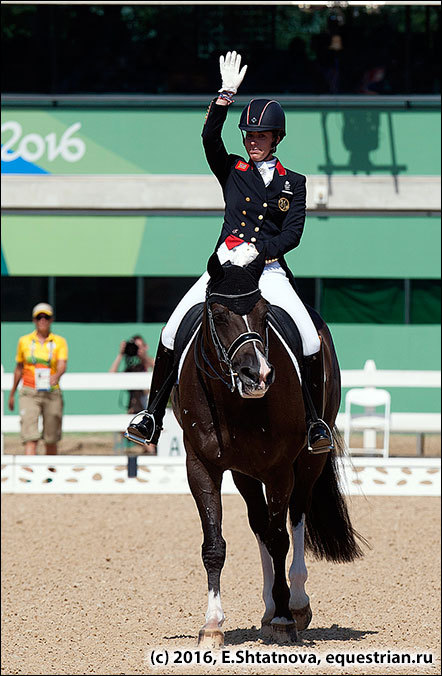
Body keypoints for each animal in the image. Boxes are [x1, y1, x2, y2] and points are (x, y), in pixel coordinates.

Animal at [171, 252, 360, 644]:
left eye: (264, 313)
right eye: (218, 314)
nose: (256, 375)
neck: (234, 402)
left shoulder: (278, 471)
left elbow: (279, 540)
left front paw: (287, 619)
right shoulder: (201, 466)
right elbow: (215, 544)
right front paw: (212, 625)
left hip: (307, 464)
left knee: (296, 516)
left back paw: (296, 604)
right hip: (245, 472)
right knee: (259, 522)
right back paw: (270, 608)